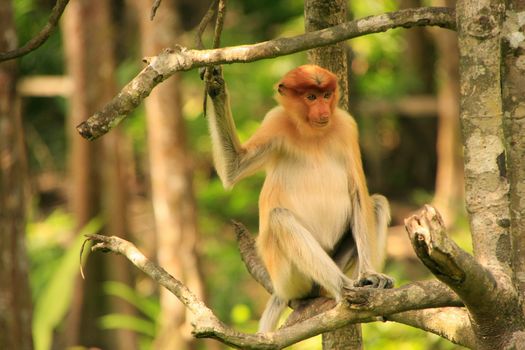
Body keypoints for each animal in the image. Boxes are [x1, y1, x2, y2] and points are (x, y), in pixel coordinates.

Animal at [207, 64, 390, 332]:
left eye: (326, 95)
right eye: (311, 97)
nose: (323, 111)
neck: (313, 133)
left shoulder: (346, 126)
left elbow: (358, 194)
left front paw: (370, 275)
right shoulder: (275, 122)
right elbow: (234, 167)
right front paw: (215, 88)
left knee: (376, 204)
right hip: (289, 278)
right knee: (279, 217)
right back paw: (344, 288)